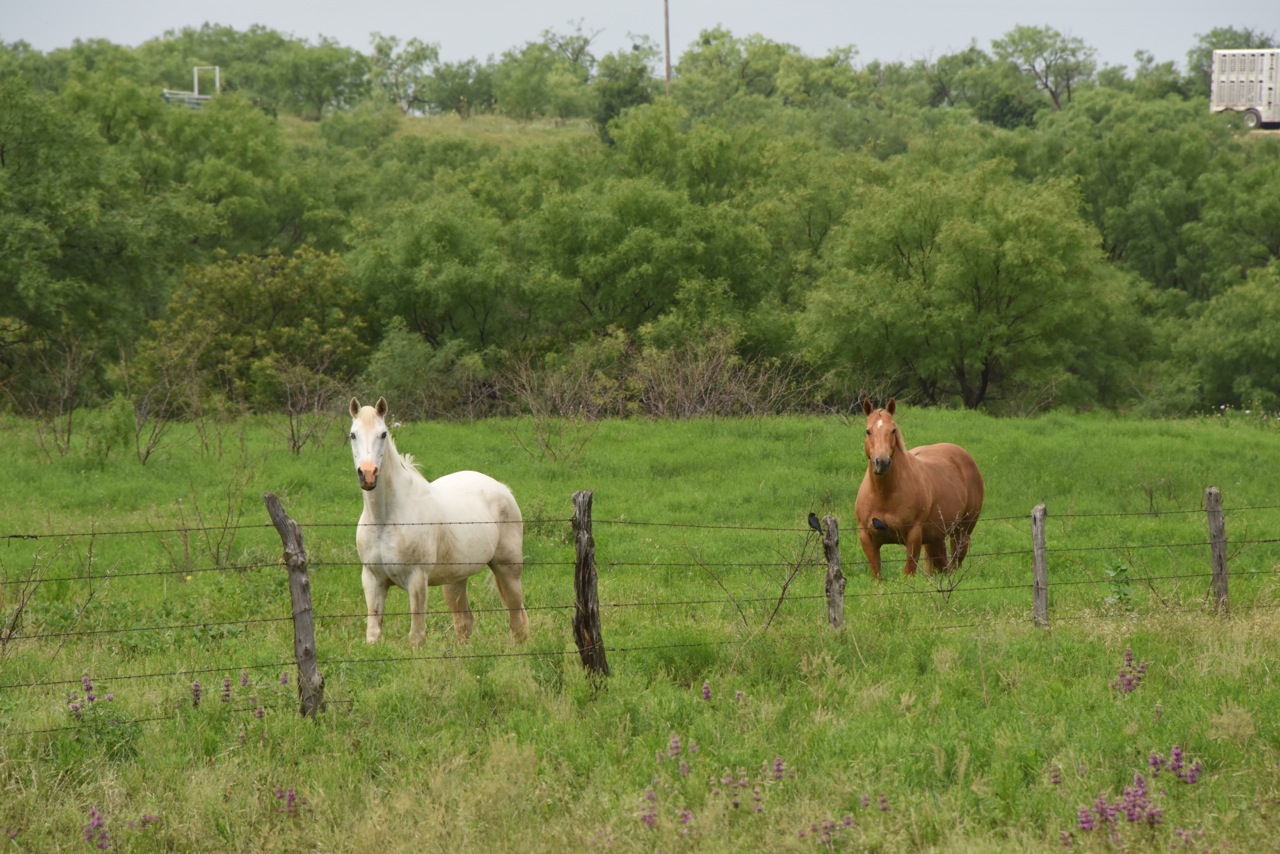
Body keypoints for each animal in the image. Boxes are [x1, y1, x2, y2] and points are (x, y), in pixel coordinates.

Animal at [348, 396, 527, 645]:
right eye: (352, 434)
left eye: (383, 434)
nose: (368, 474)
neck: (384, 520)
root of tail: (503, 488)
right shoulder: (373, 580)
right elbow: (373, 634)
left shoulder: (416, 580)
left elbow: (416, 637)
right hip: (455, 580)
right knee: (464, 622)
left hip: (508, 569)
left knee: (517, 619)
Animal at [855, 402, 983, 581]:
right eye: (868, 431)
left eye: (893, 430)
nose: (882, 462)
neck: (884, 494)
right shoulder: (867, 538)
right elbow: (877, 575)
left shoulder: (913, 535)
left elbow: (909, 573)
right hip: (936, 539)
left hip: (962, 531)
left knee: (955, 564)